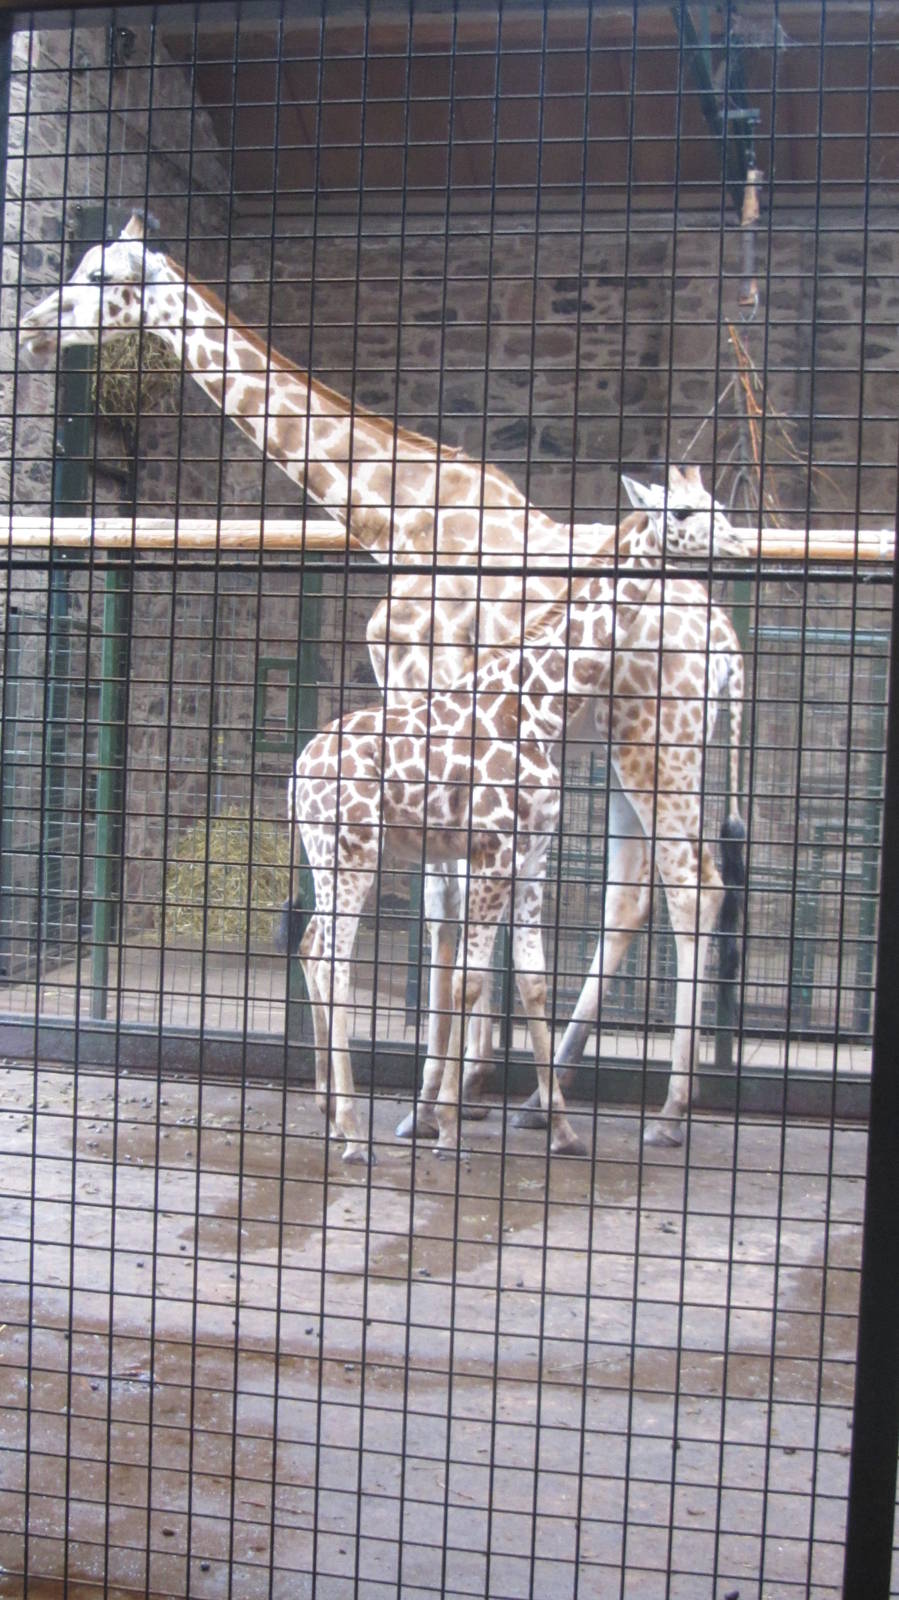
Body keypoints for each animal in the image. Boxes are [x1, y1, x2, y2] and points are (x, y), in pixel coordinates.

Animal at [288, 503, 749, 1163]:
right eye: (686, 510)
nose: (740, 543)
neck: (531, 703)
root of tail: (300, 769)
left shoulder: (524, 856)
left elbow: (520, 978)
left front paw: (545, 1124)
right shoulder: (492, 852)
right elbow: (468, 973)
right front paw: (446, 1120)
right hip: (350, 853)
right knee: (330, 960)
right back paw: (353, 1130)